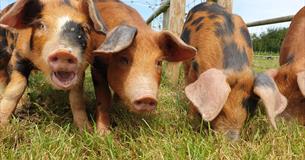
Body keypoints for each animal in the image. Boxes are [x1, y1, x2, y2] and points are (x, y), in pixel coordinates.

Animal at [88, 0, 197, 134]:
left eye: (159, 62)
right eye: (123, 58)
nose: (147, 97)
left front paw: (119, 106)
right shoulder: (96, 65)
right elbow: (103, 98)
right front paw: (103, 134)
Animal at [182, 2, 286, 140]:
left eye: (249, 105)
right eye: (221, 108)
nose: (232, 140)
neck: (236, 68)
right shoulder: (195, 66)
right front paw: (192, 126)